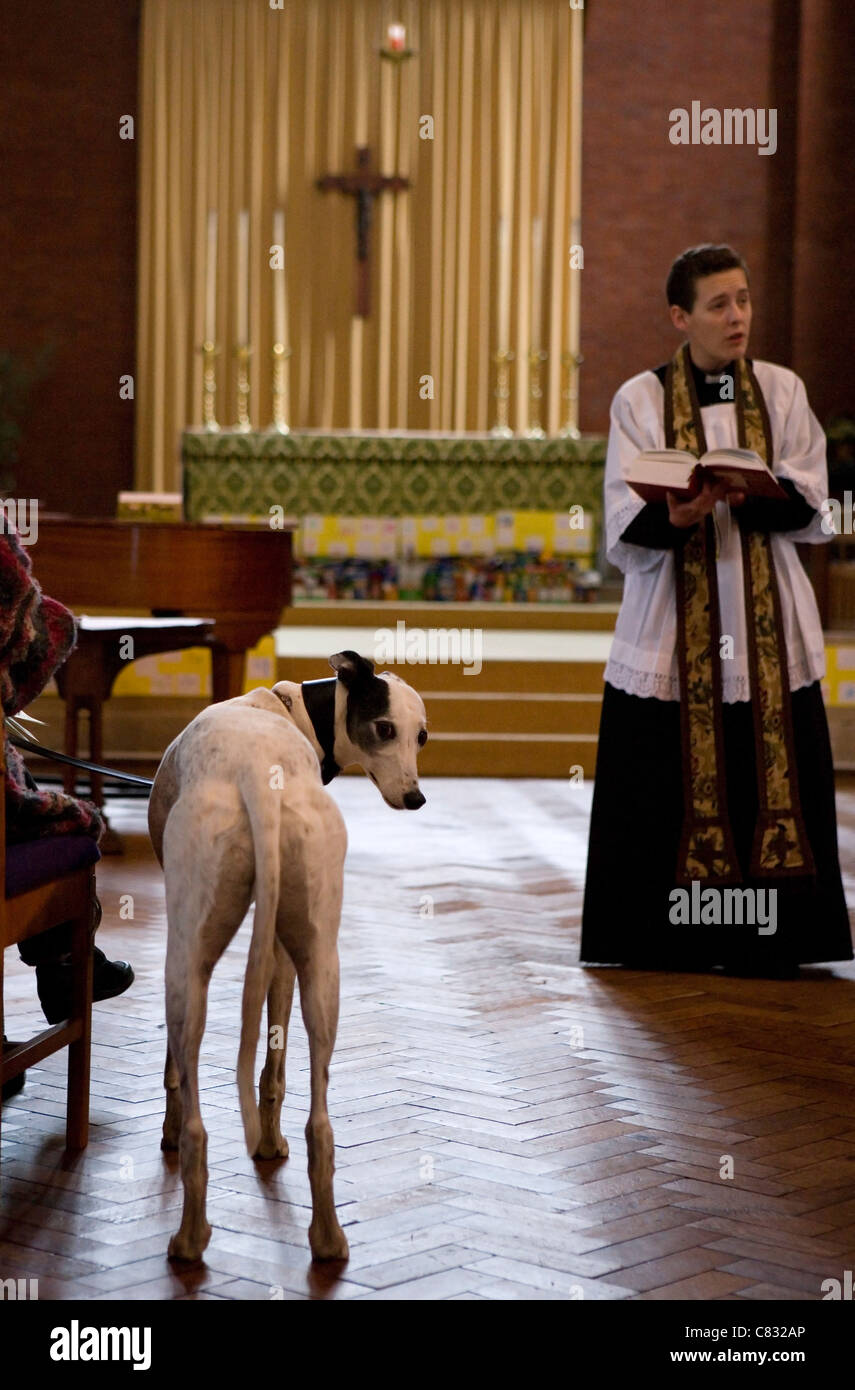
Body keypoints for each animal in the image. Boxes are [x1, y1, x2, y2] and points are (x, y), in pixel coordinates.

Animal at [148, 650, 428, 1262]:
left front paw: (170, 1132)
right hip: (322, 966)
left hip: (185, 963)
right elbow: (273, 1069)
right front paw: (270, 1142)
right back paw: (326, 1236)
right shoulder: (279, 947)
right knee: (320, 1125)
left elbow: (175, 1071)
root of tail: (260, 778)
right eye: (387, 730)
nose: (416, 798)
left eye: (421, 736)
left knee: (197, 1121)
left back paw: (189, 1235)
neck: (291, 712)